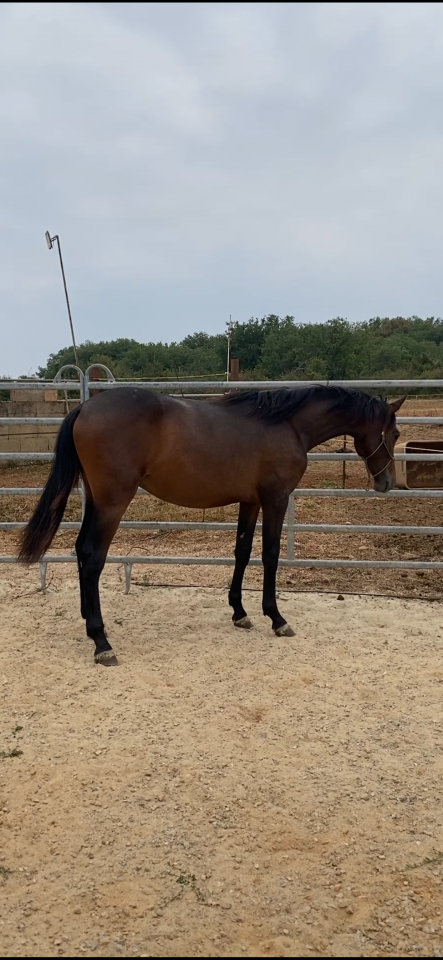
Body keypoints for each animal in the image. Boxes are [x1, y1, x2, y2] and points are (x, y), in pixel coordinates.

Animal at [18, 384, 405, 665]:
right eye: (396, 432)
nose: (388, 483)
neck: (287, 425)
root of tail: (84, 408)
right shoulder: (276, 499)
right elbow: (270, 555)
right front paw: (276, 618)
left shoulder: (250, 501)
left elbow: (242, 551)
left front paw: (240, 612)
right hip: (113, 502)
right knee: (93, 556)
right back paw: (101, 642)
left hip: (97, 500)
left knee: (81, 551)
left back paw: (88, 622)